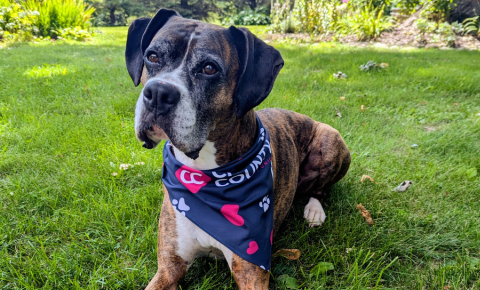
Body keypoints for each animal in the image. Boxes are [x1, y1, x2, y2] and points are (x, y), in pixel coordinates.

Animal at [124, 7, 348, 288]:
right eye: (152, 56)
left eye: (209, 68)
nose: (157, 93)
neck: (205, 174)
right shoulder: (168, 268)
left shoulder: (251, 272)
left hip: (331, 140)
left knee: (320, 188)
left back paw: (314, 210)